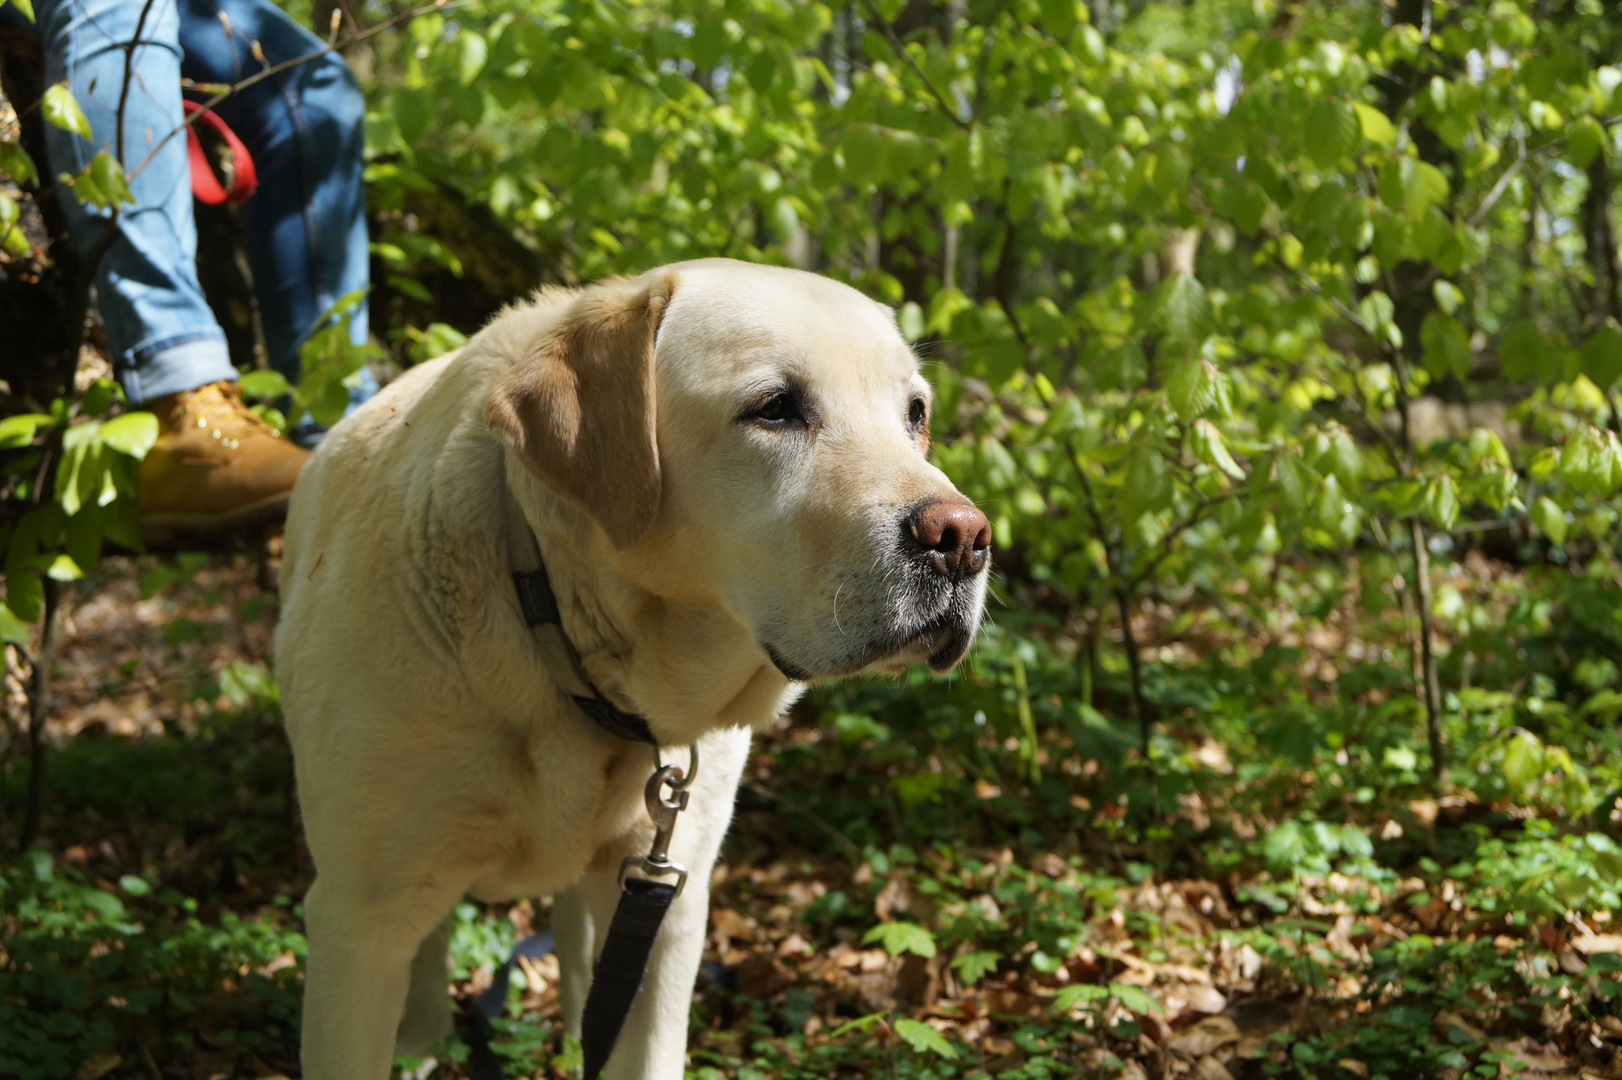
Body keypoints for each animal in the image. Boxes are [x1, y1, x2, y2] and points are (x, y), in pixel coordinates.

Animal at [277, 261, 986, 1076]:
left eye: (915, 413)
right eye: (775, 408)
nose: (964, 538)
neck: (557, 637)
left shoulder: (665, 903)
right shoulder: (357, 923)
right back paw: (424, 1038)